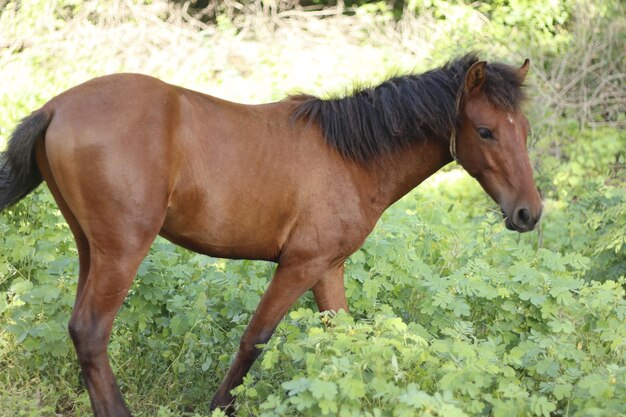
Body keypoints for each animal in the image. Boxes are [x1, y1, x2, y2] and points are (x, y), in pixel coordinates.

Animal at [0, 53, 536, 414]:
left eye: (525, 130)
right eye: (485, 131)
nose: (528, 213)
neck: (352, 156)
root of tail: (56, 108)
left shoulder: (328, 269)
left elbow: (345, 341)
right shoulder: (300, 265)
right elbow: (254, 340)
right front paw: (219, 406)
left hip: (90, 248)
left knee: (80, 333)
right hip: (122, 251)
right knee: (92, 332)